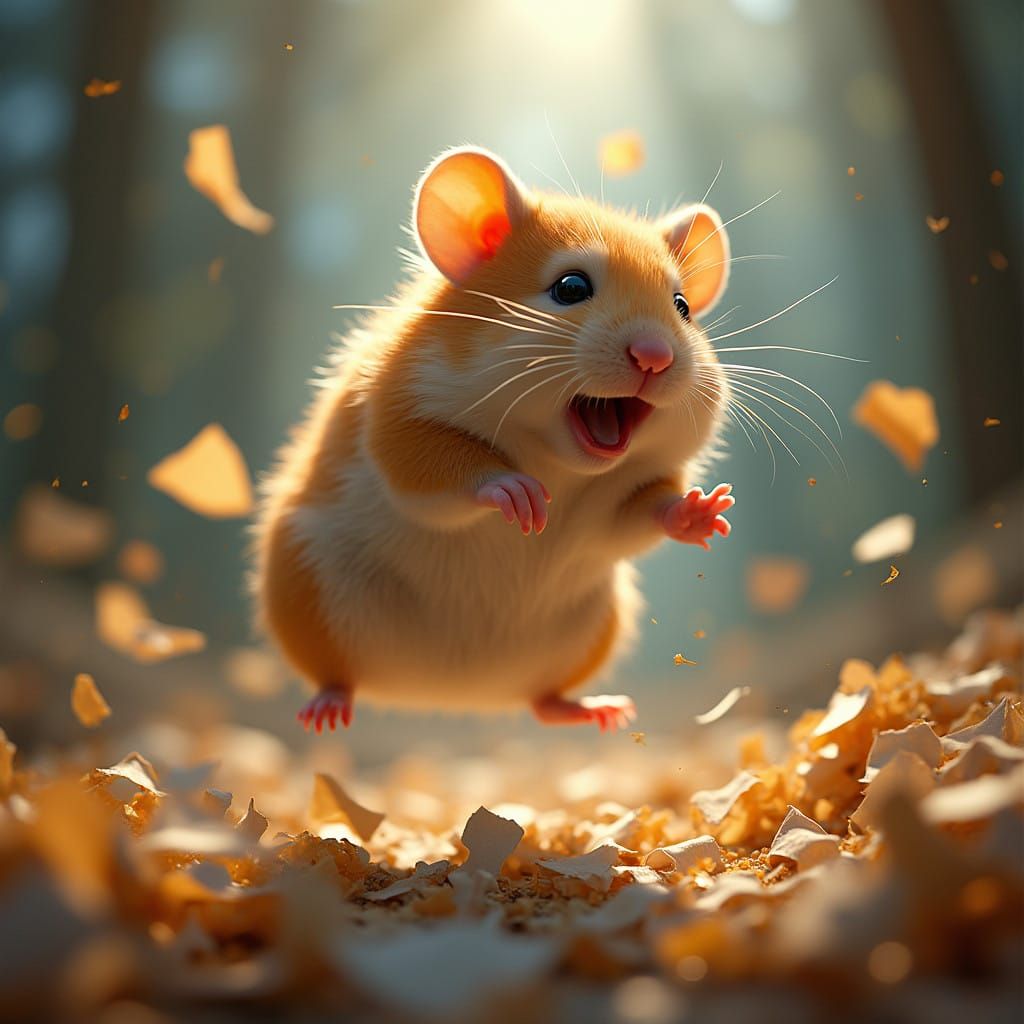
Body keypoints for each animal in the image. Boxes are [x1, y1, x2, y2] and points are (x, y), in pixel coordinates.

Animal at [252, 146, 734, 733]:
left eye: (682, 307)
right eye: (571, 288)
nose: (655, 356)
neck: (556, 459)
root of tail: (448, 695)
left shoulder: (618, 500)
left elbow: (643, 515)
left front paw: (703, 512)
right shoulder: (399, 423)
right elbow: (445, 472)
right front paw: (520, 497)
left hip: (595, 626)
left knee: (543, 702)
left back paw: (602, 711)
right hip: (305, 586)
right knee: (336, 675)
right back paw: (326, 711)